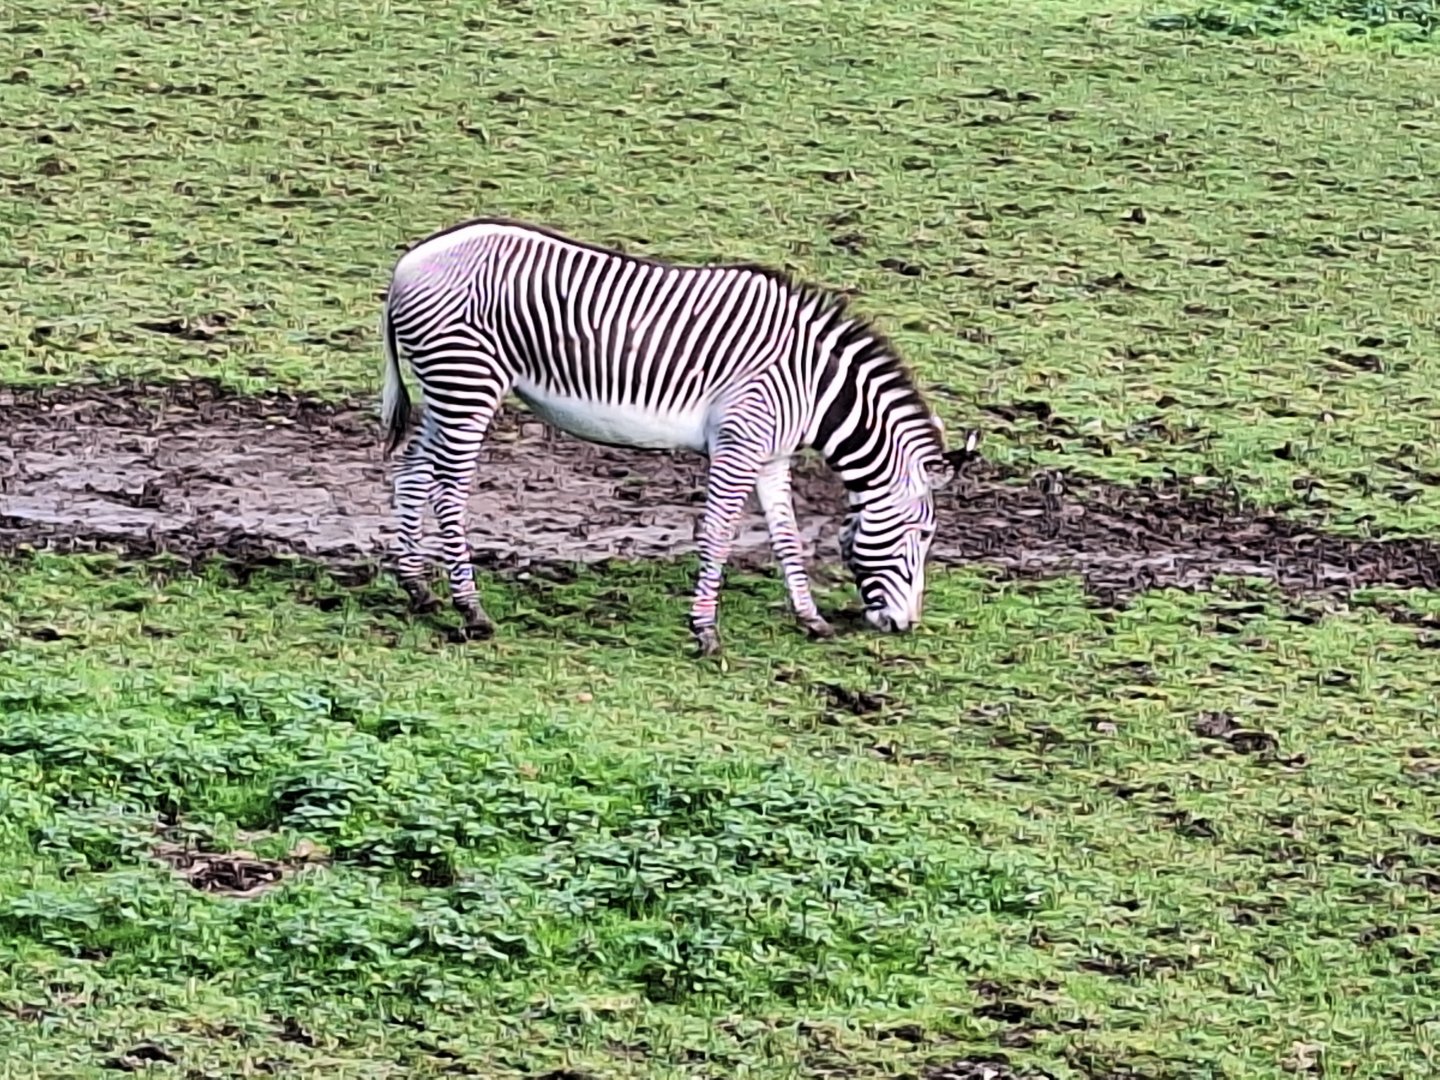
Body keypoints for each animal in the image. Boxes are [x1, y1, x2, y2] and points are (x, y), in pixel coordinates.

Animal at [379, 217, 975, 655]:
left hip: (446, 388)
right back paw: (471, 609)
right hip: (468, 381)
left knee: (412, 470)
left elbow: (786, 536)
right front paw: (705, 631)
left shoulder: (772, 456)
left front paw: (811, 619)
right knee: (449, 489)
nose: (904, 625)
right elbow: (717, 534)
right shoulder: (739, 443)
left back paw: (418, 589)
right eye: (924, 535)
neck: (812, 383)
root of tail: (410, 261)